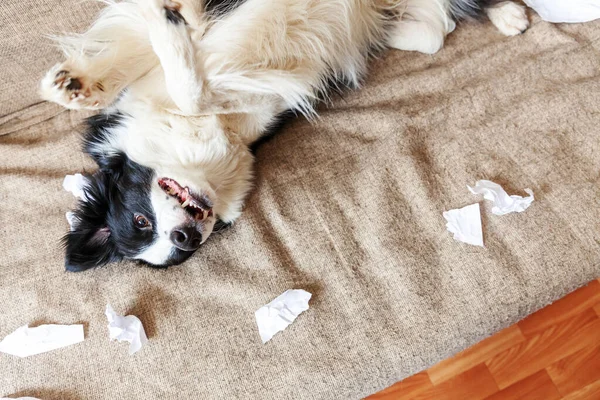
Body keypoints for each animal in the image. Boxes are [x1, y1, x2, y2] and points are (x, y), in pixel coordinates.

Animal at [41, 0, 528, 272]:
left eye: (140, 220)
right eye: (177, 256)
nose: (185, 239)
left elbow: (164, 53)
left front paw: (77, 83)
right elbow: (194, 87)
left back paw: (510, 14)